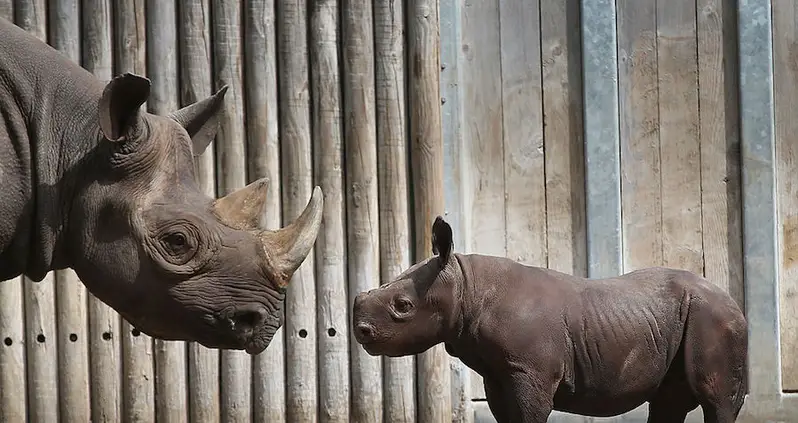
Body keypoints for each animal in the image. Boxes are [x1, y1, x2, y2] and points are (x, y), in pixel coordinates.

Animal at [352, 216, 748, 423]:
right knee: (668, 401)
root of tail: (735, 301)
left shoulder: (531, 370)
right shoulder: (500, 372)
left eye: (403, 306)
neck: (467, 285)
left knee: (716, 400)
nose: (360, 332)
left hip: (714, 318)